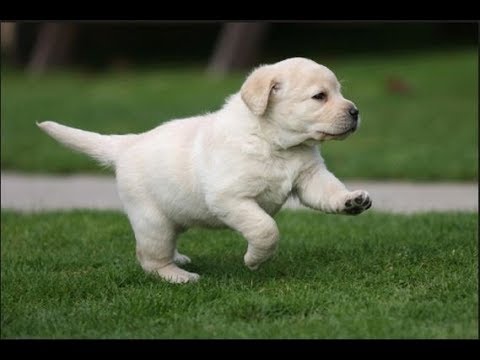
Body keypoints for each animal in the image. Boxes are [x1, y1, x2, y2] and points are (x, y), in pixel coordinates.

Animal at [39, 57, 374, 284]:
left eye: (339, 91)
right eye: (320, 96)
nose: (356, 112)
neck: (274, 142)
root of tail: (128, 144)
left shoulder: (309, 176)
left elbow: (329, 191)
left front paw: (351, 200)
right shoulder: (230, 197)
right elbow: (266, 228)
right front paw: (254, 260)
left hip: (171, 216)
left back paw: (178, 258)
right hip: (151, 220)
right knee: (149, 258)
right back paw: (178, 275)